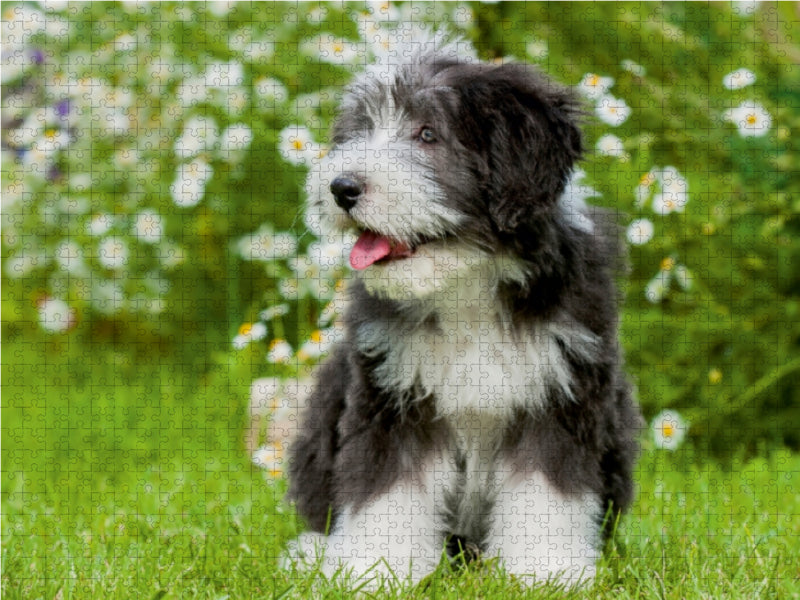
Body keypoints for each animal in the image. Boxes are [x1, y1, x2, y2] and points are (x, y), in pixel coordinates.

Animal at [284, 31, 640, 584]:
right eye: (359, 130)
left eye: (428, 134)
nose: (341, 187)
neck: (466, 281)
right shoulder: (391, 394)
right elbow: (387, 486)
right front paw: (377, 569)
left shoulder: (562, 390)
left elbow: (548, 488)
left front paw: (545, 571)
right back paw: (314, 553)